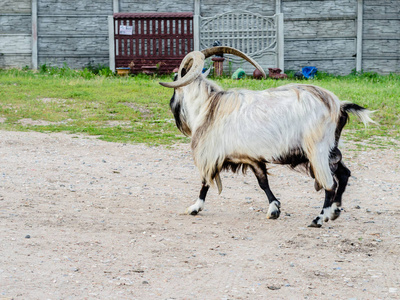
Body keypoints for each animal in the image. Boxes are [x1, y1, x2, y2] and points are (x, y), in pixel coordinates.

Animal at [159, 45, 376, 226]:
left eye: (176, 79)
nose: (171, 104)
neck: (208, 106)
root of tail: (339, 106)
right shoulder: (251, 156)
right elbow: (263, 181)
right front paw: (274, 209)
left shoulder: (211, 154)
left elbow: (205, 182)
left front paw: (194, 208)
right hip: (331, 149)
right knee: (343, 174)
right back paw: (335, 211)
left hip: (317, 150)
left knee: (330, 184)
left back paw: (319, 218)